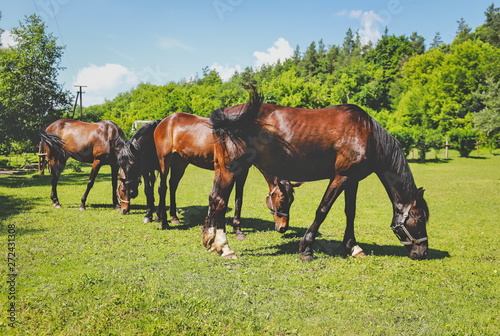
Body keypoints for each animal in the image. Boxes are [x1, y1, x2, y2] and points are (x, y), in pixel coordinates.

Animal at [115, 113, 298, 239]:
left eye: (292, 201)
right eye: (282, 200)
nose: (283, 228)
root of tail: (165, 121)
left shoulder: (242, 172)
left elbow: (238, 199)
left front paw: (237, 229)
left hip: (179, 163)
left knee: (172, 186)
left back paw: (172, 217)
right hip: (164, 161)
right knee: (162, 188)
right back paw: (164, 221)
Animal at [204, 86, 430, 260]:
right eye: (419, 221)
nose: (423, 252)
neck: (366, 134)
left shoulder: (353, 180)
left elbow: (350, 212)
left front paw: (353, 247)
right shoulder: (341, 177)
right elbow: (322, 210)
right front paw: (306, 248)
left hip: (223, 169)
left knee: (215, 199)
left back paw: (211, 240)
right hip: (231, 168)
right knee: (220, 201)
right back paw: (225, 248)